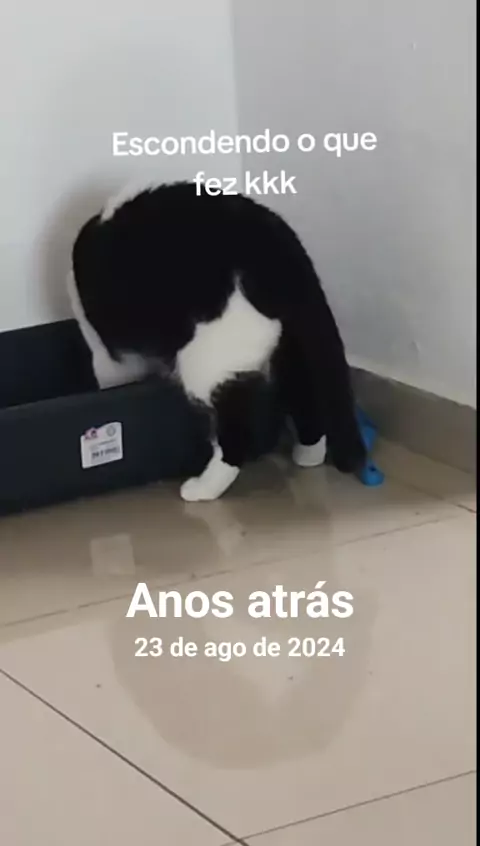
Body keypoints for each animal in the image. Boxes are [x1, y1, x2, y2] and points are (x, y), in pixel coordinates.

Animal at [68, 180, 366, 502]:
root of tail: (280, 250)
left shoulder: (108, 352)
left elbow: (112, 375)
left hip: (207, 359)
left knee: (236, 429)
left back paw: (204, 488)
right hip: (292, 344)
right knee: (305, 393)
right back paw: (308, 454)